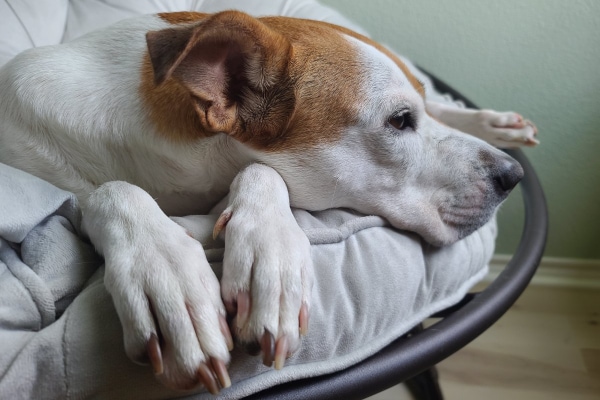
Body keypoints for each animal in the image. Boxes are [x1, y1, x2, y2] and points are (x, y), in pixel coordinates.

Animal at [0, 10, 536, 394]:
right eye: (400, 121)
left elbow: (263, 171)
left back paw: (493, 122)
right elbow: (111, 192)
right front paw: (167, 274)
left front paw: (269, 260)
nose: (511, 177)